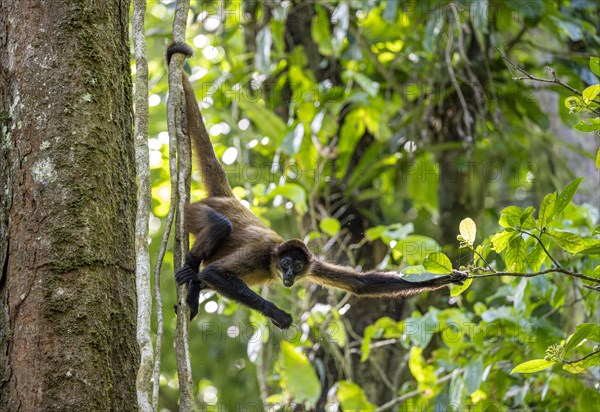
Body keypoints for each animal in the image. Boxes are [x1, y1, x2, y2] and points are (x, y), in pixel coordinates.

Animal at [166, 44, 466, 328]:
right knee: (219, 227)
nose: (289, 275)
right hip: (194, 211)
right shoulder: (259, 253)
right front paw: (277, 313)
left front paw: (448, 277)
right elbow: (214, 273)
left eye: (297, 266)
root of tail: (227, 198)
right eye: (286, 264)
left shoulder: (313, 264)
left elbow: (362, 284)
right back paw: (191, 277)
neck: (271, 262)